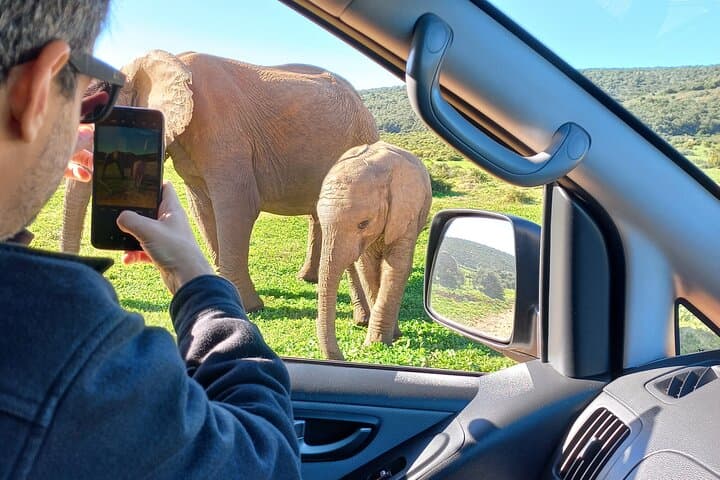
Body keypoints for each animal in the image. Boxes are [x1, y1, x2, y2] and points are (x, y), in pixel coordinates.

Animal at [60, 50, 379, 312]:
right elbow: (202, 208)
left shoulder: (223, 131)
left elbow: (237, 207)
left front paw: (249, 307)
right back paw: (307, 278)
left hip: (362, 135)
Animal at [315, 141, 432, 360]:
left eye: (364, 223)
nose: (343, 358)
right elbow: (367, 268)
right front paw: (382, 340)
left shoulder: (406, 213)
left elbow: (396, 268)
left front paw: (375, 343)